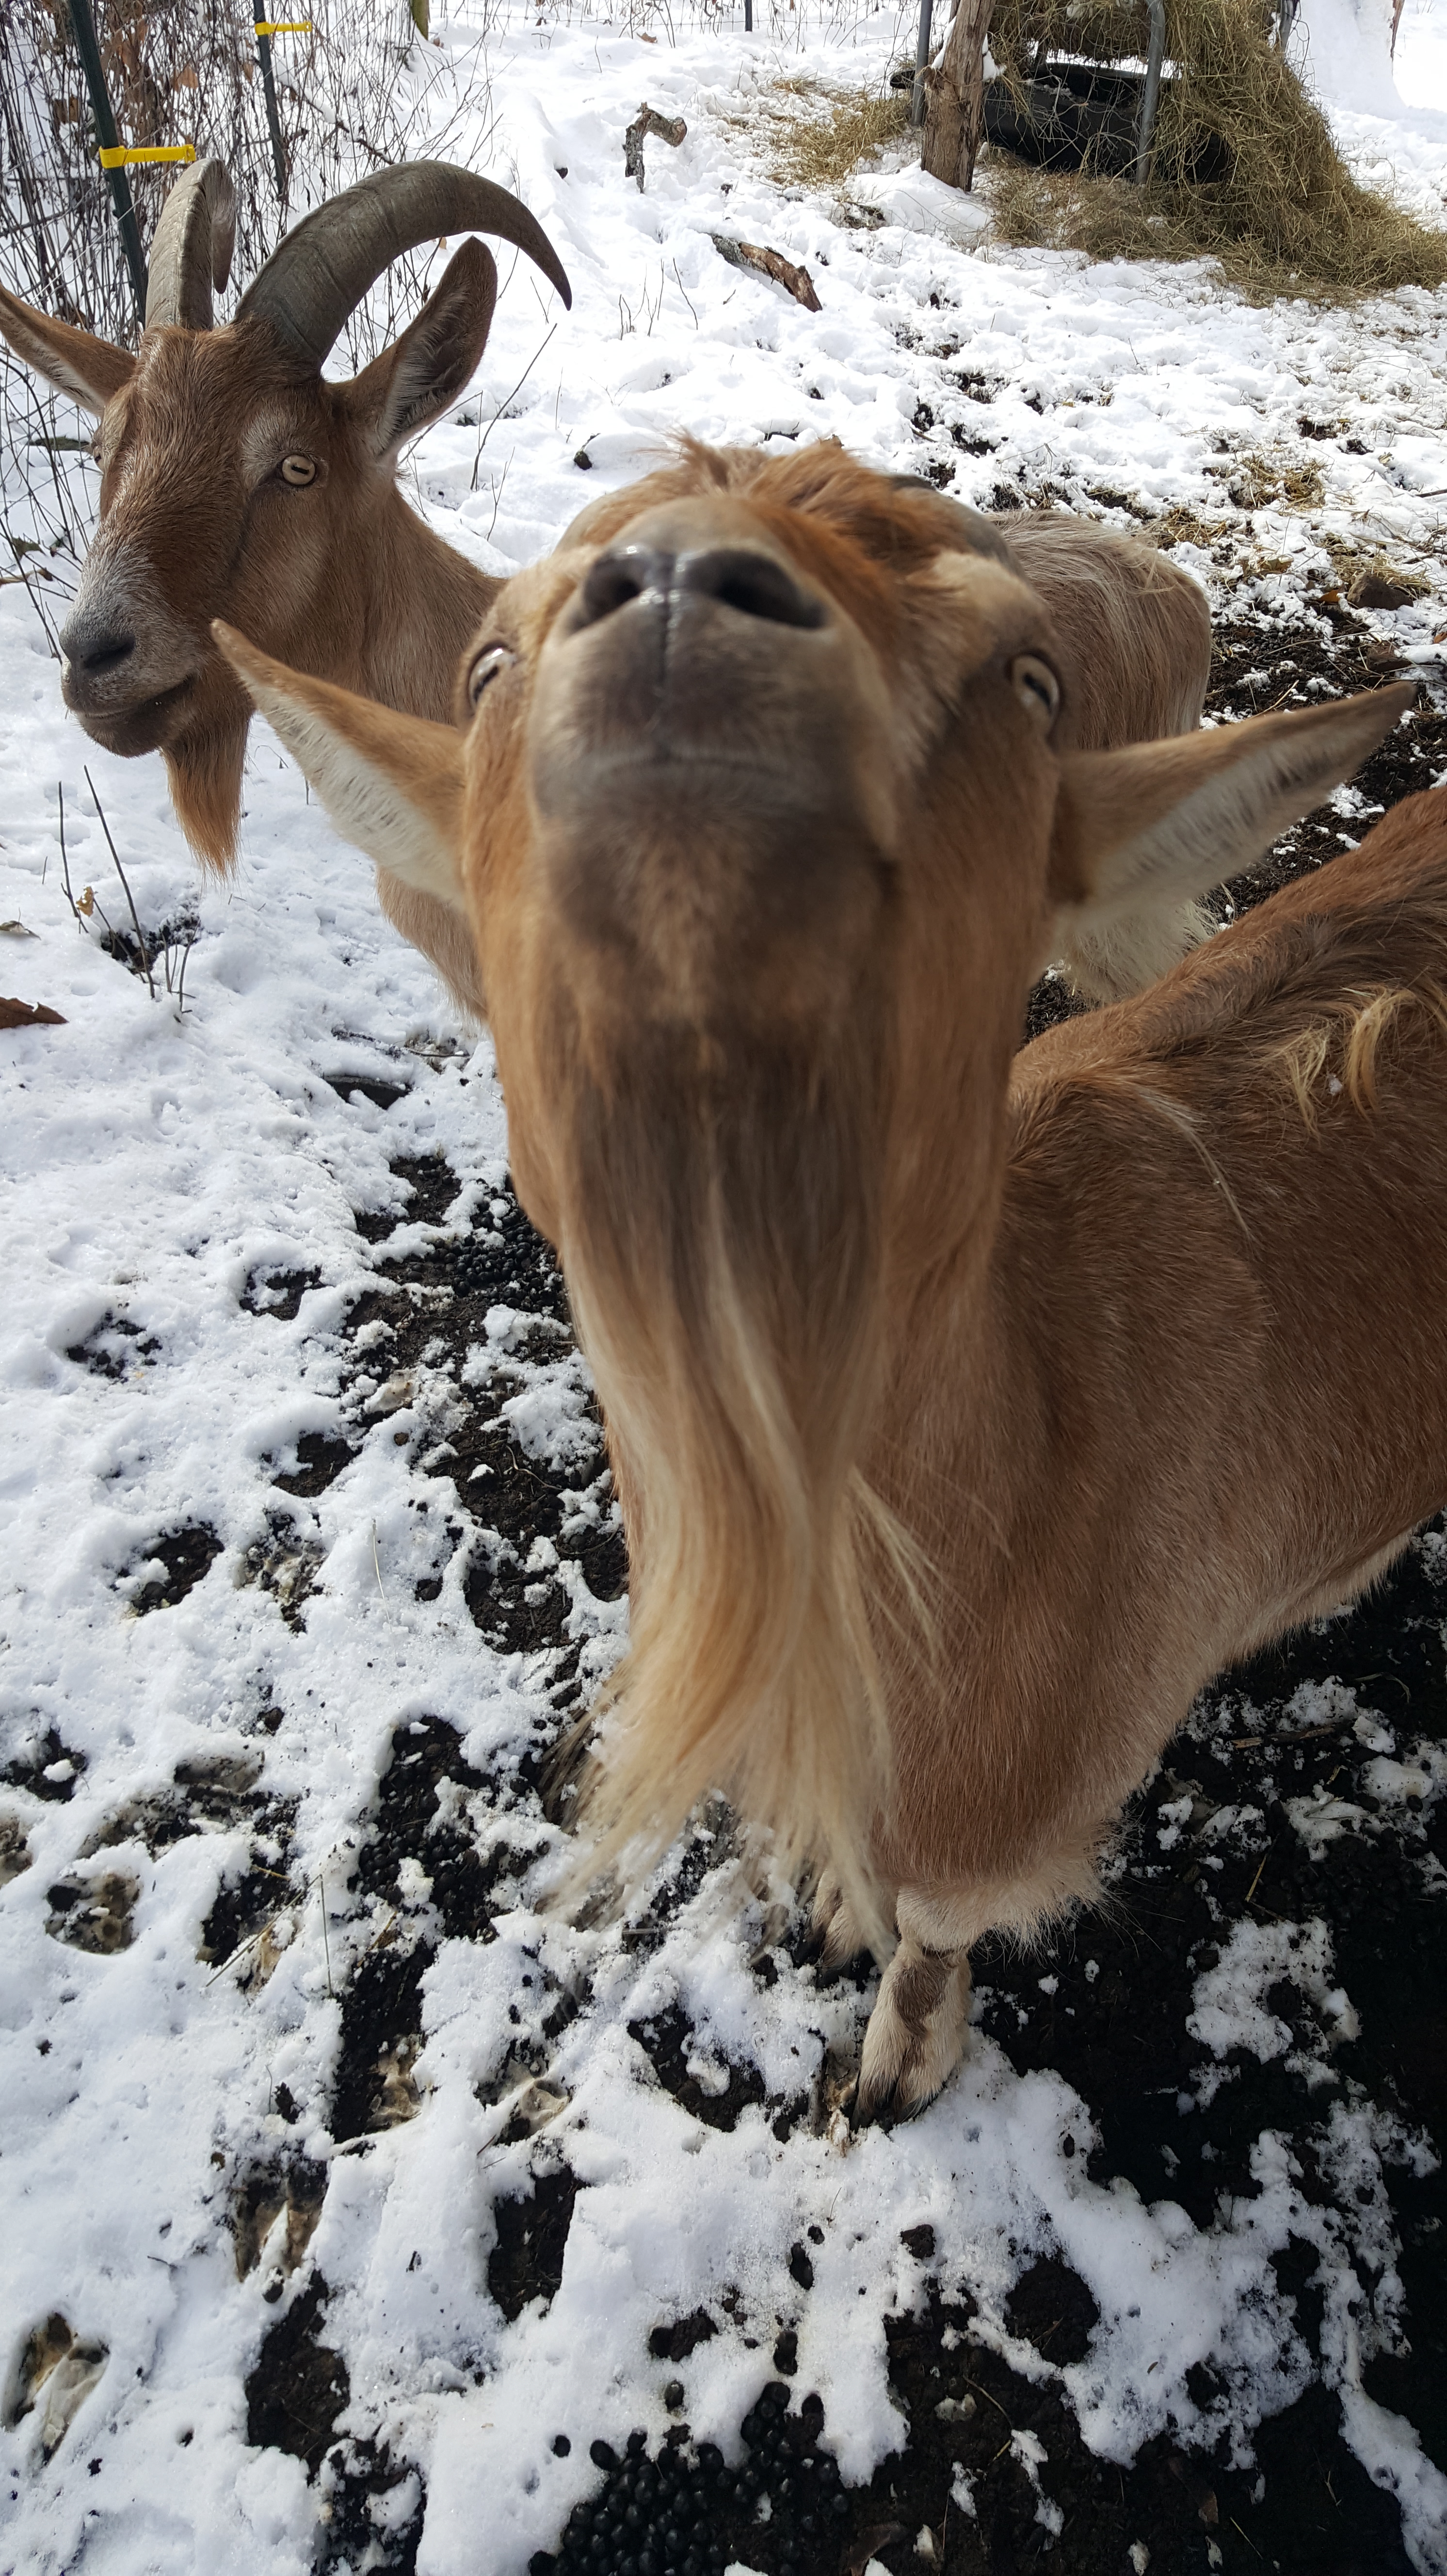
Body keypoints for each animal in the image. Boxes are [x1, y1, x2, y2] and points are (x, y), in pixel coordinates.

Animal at [213, 442, 1427, 2122]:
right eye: (486, 664)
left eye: (1029, 682)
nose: (680, 598)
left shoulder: (1008, 1820)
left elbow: (933, 1928)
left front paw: (897, 2068)